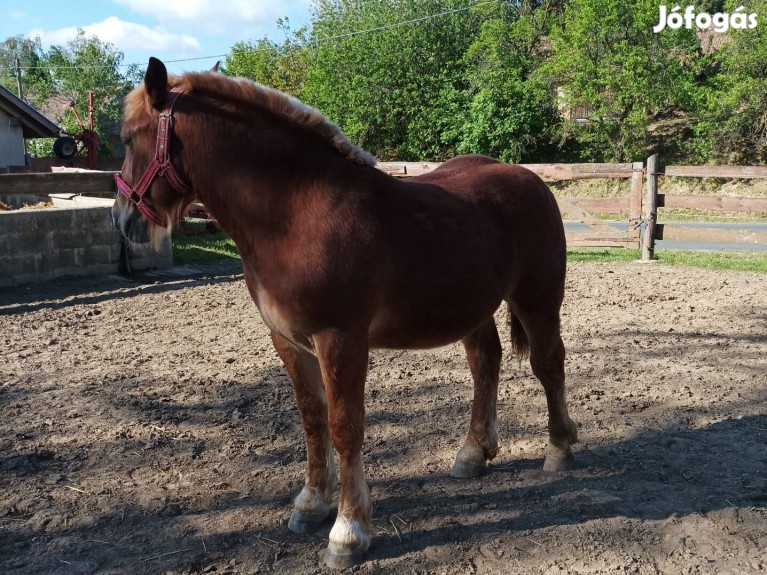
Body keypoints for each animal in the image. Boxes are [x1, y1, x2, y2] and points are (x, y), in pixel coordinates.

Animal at [114, 56, 576, 568]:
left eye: (128, 138)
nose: (123, 219)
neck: (295, 212)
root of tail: (530, 179)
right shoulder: (288, 339)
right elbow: (313, 420)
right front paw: (311, 505)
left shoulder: (341, 339)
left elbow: (344, 425)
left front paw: (348, 531)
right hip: (473, 307)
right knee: (485, 364)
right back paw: (473, 453)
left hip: (537, 298)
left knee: (548, 364)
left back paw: (559, 449)